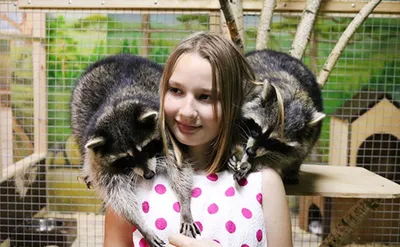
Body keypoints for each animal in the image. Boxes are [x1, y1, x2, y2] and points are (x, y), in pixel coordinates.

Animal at [71, 54, 199, 247]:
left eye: (146, 147)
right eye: (126, 158)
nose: (149, 175)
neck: (117, 105)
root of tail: (121, 56)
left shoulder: (168, 133)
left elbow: (179, 167)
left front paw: (185, 202)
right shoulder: (99, 162)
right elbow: (118, 194)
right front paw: (139, 223)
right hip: (79, 110)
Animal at [228, 49, 324, 183]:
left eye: (274, 142)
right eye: (257, 129)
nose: (250, 152)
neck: (293, 95)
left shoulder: (307, 136)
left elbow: (292, 154)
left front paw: (249, 162)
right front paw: (243, 156)